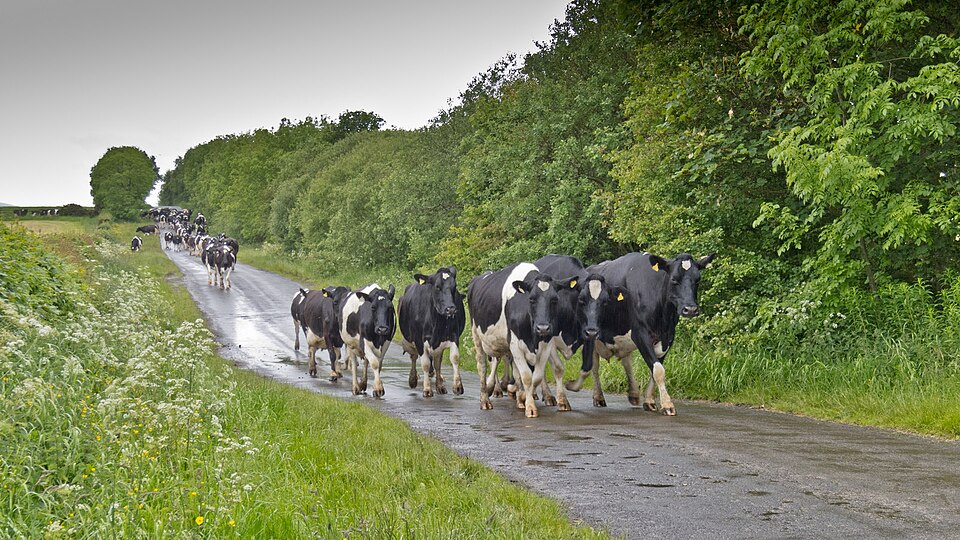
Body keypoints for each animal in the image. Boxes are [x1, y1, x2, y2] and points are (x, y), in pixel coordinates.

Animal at [398, 267, 466, 398]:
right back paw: (413, 379)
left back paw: (440, 386)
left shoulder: (453, 335)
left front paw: (457, 386)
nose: (451, 309)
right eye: (437, 286)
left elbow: (454, 357)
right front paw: (427, 389)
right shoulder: (419, 340)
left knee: (437, 361)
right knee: (414, 357)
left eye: (454, 286)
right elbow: (425, 363)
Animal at [468, 263, 576, 417]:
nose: (543, 328)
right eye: (531, 299)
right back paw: (485, 400)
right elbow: (526, 376)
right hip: (477, 336)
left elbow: (536, 377)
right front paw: (530, 407)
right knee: (482, 366)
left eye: (554, 300)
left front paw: (522, 396)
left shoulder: (546, 345)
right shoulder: (515, 345)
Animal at [565, 252, 714, 415]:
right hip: (594, 336)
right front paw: (667, 404)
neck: (663, 318)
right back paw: (598, 397)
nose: (691, 309)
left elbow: (655, 370)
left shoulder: (667, 338)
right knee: (595, 367)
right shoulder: (640, 333)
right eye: (674, 279)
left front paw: (649, 401)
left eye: (697, 280)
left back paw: (633, 394)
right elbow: (658, 370)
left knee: (626, 362)